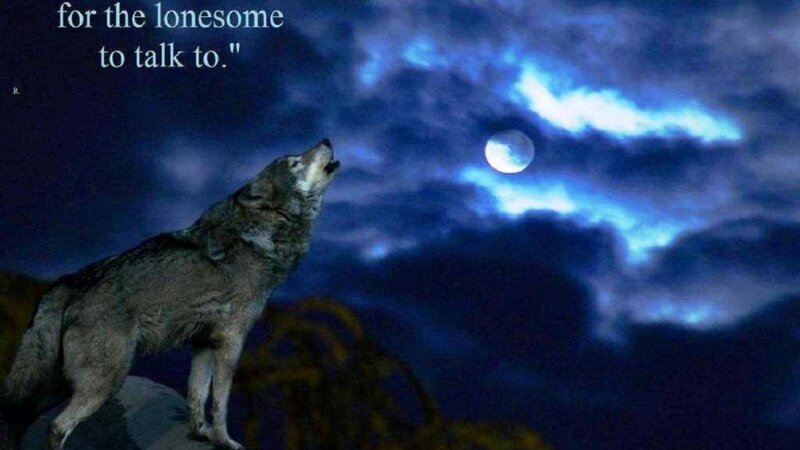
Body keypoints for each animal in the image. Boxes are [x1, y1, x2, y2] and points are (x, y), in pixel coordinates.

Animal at [0, 139, 340, 449]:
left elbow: (196, 394)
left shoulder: (202, 343)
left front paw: (200, 434)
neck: (262, 233)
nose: (326, 140)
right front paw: (225, 441)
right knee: (57, 426)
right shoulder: (231, 340)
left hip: (58, 384)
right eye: (294, 163)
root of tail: (68, 281)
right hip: (105, 381)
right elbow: (220, 403)